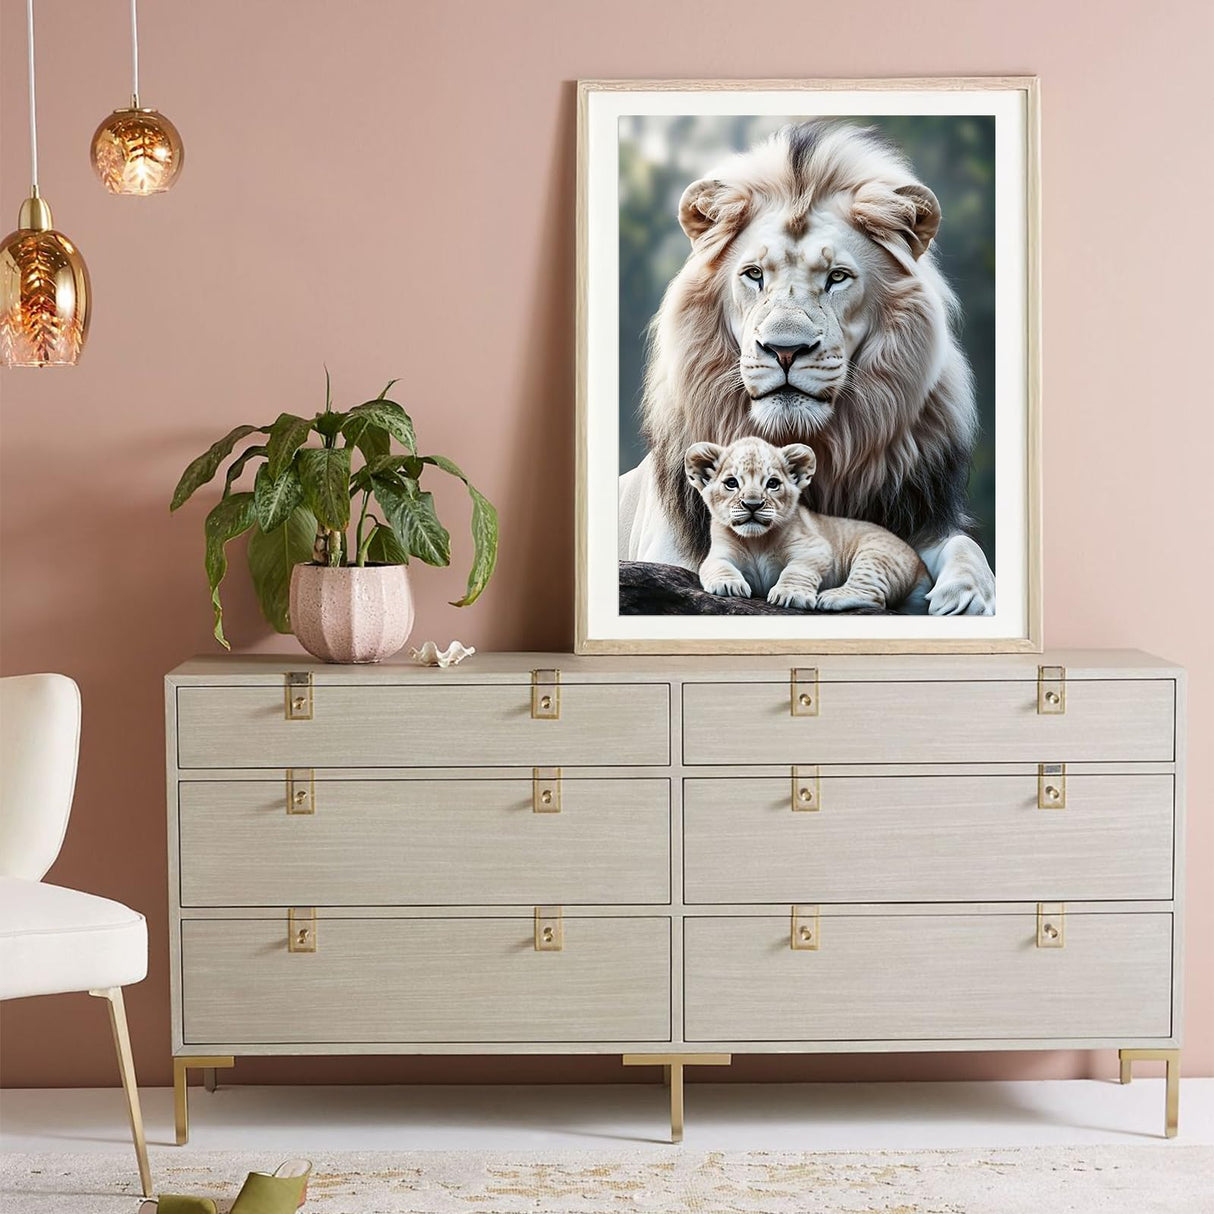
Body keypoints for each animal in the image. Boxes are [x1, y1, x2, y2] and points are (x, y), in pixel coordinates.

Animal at [685, 436, 929, 612]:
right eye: (731, 483)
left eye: (772, 483)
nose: (752, 504)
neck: (757, 541)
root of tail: (923, 566)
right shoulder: (719, 552)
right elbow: (717, 566)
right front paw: (729, 585)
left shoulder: (817, 548)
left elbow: (797, 568)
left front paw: (790, 594)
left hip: (877, 554)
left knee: (875, 596)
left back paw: (830, 597)